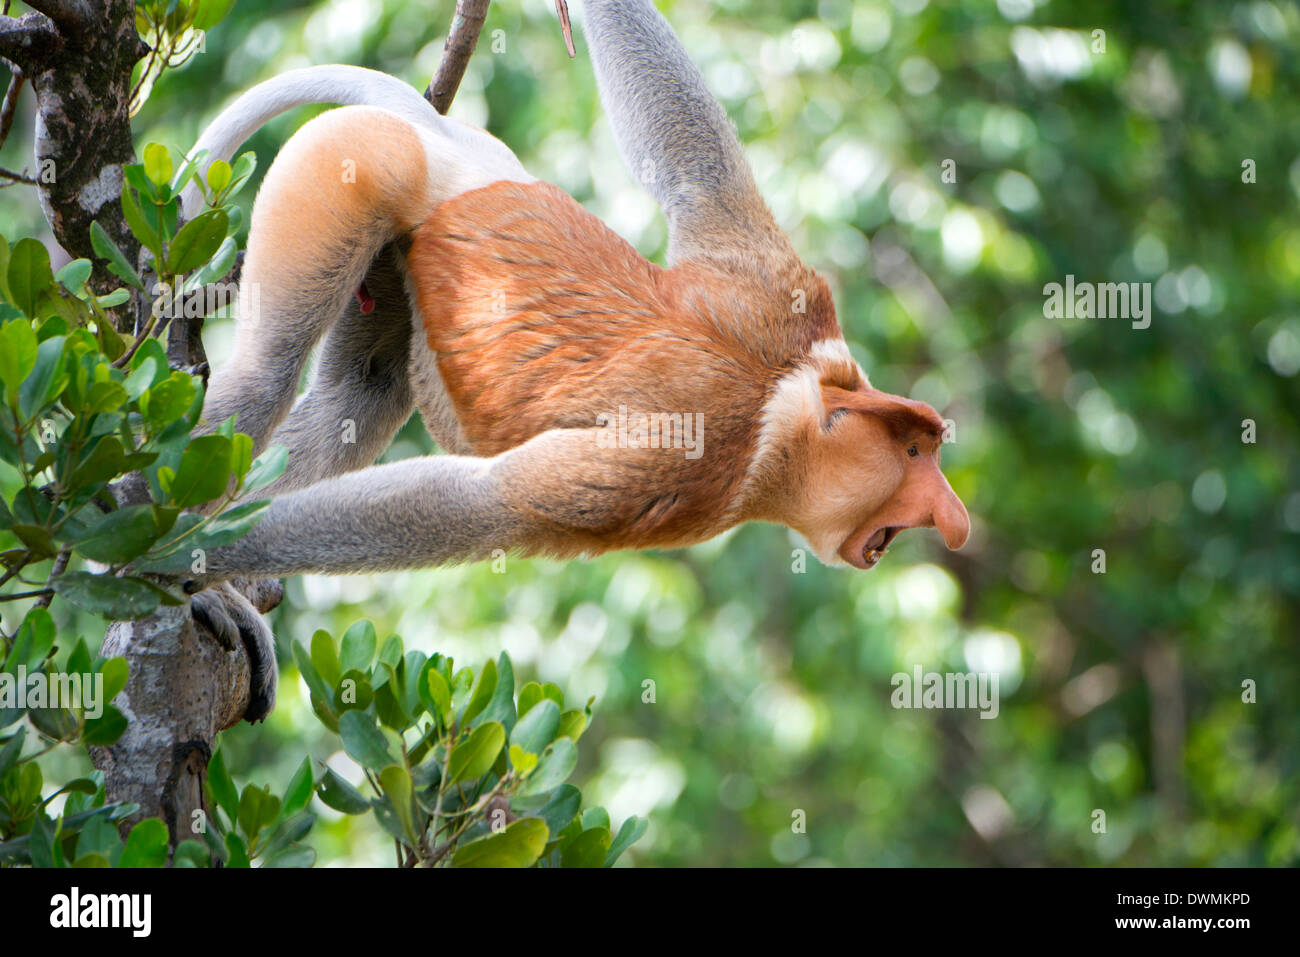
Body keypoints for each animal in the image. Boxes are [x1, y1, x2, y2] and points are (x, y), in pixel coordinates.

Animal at [174, 0, 971, 722]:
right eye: (913, 452)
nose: (955, 520)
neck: (786, 404)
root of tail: (449, 148)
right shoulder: (668, 461)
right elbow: (486, 502)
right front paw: (174, 562)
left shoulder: (774, 289)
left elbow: (695, 177)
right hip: (348, 170)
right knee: (268, 369)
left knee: (360, 393)